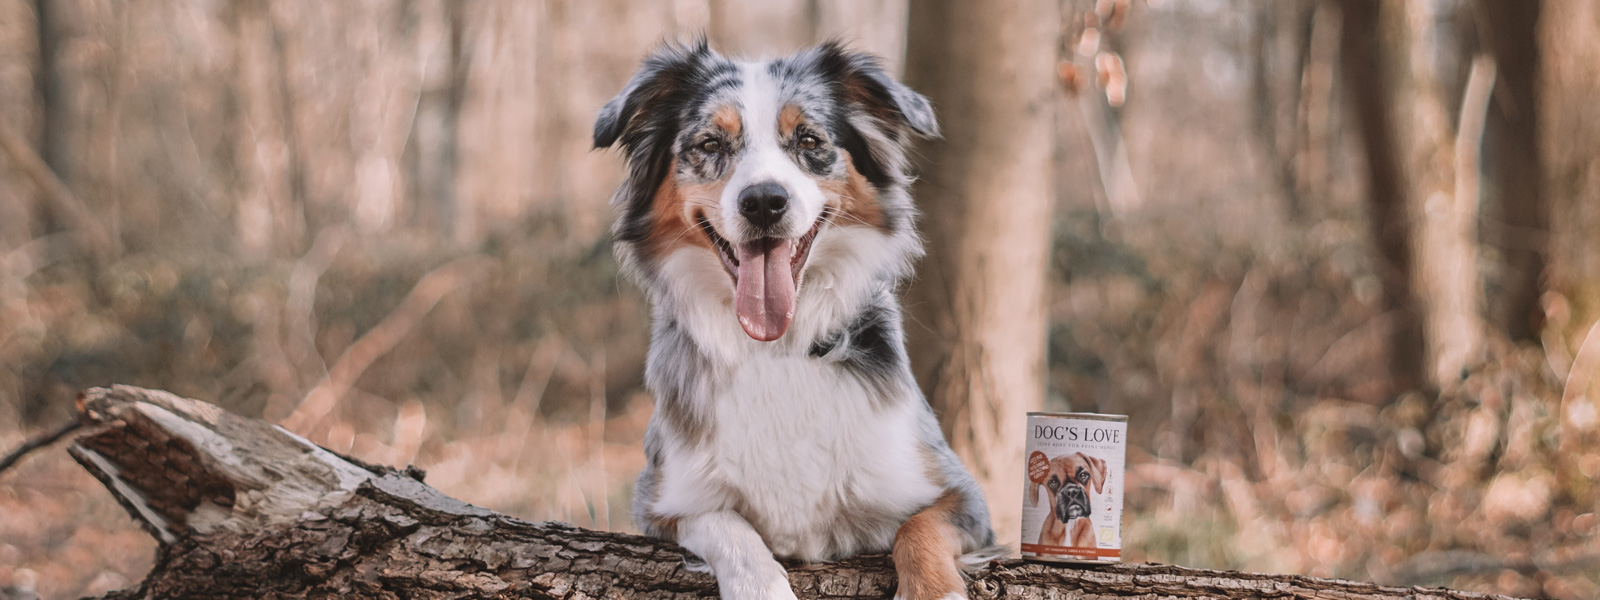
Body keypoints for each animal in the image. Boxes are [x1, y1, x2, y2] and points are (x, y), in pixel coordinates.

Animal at [598, 38, 998, 600]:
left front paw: (933, 591)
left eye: (808, 139)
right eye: (709, 143)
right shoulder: (662, 500)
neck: (775, 348)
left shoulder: (960, 494)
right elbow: (729, 527)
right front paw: (760, 584)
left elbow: (918, 528)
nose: (764, 201)